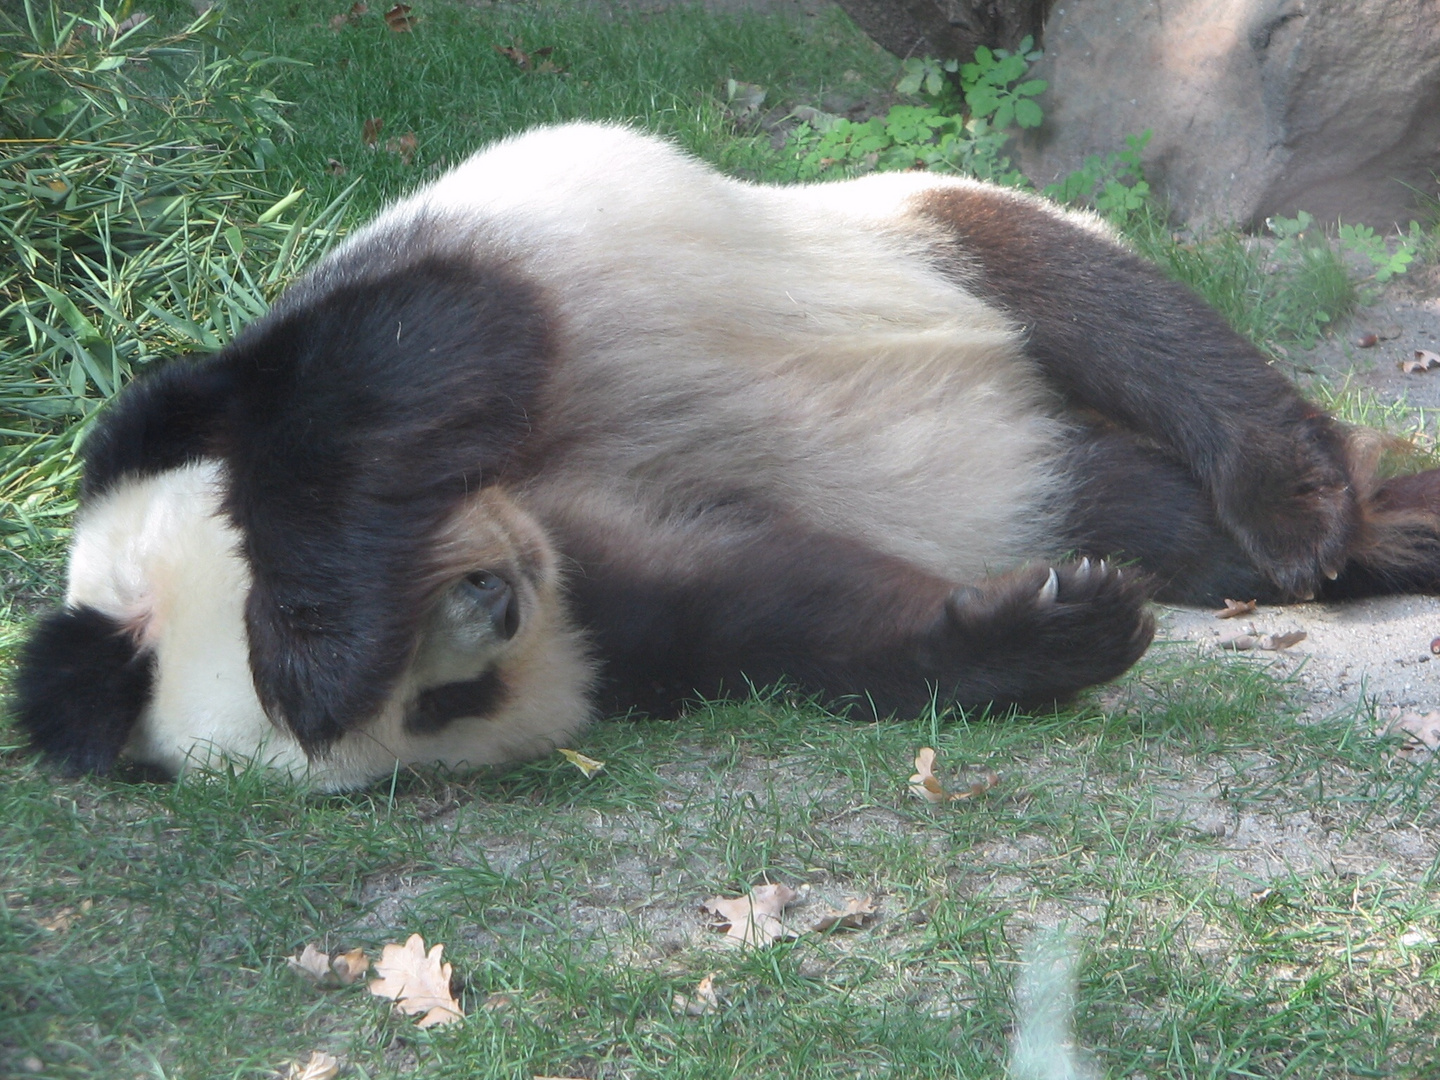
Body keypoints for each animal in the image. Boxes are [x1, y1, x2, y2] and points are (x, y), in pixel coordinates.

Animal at [11, 122, 1440, 789]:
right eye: (444, 706)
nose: (489, 596)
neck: (515, 501)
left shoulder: (353, 326)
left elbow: (409, 356)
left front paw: (311, 653)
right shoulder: (606, 584)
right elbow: (772, 604)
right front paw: (1052, 627)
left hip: (915, 235)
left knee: (1133, 324)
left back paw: (1306, 508)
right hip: (1043, 468)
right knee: (1147, 508)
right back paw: (1362, 535)